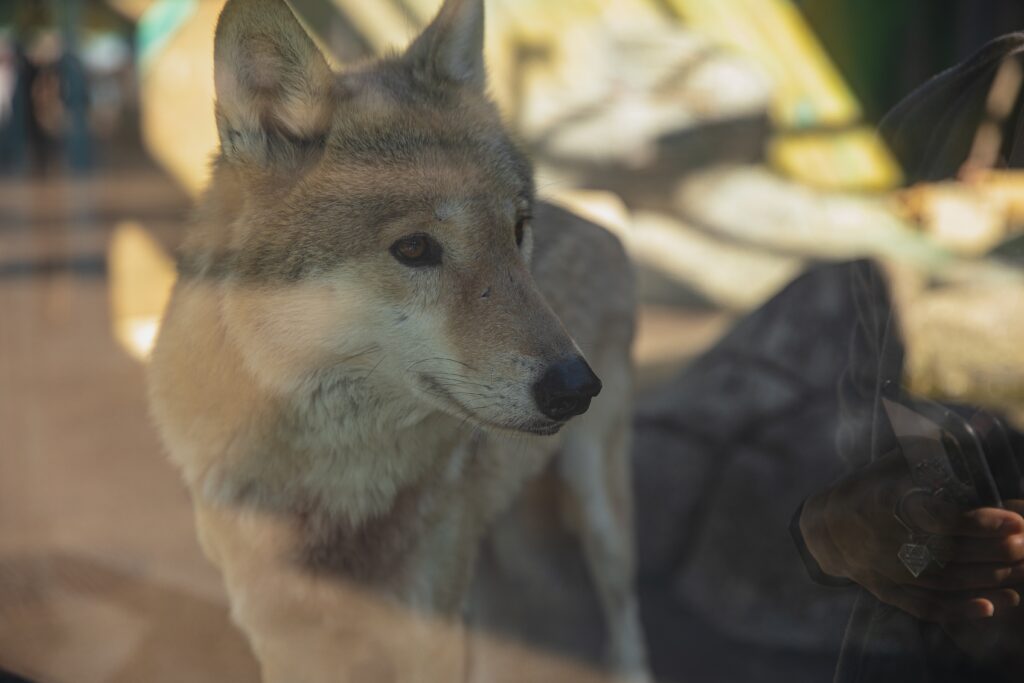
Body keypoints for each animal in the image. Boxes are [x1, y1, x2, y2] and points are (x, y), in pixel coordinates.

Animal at [147, 0, 649, 680]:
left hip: (598, 510)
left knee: (622, 607)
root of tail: (603, 222)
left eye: (517, 229)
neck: (330, 492)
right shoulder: (283, 637)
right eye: (414, 248)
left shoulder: (425, 633)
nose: (576, 387)